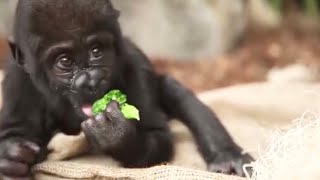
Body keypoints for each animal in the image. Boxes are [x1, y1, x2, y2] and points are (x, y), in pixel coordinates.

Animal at [0, 0, 255, 179]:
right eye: (65, 61)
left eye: (96, 50)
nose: (91, 81)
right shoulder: (17, 76)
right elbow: (15, 132)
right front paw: (12, 154)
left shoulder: (134, 63)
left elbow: (157, 137)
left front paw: (117, 135)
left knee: (176, 92)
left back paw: (226, 156)